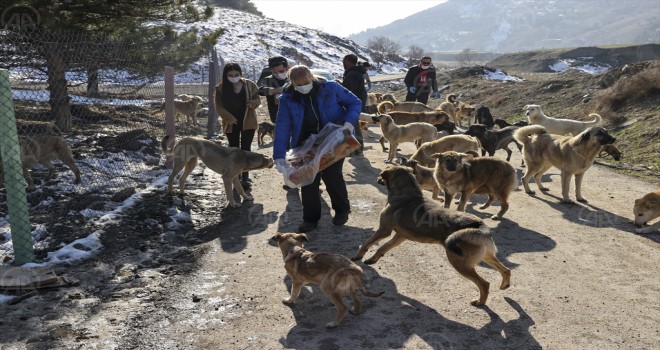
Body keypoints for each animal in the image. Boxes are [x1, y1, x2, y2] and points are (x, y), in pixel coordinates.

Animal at [350, 165, 510, 304]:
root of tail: (481, 226)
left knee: (484, 284)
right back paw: (504, 285)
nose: (378, 178)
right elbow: (382, 248)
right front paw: (372, 259)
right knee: (506, 270)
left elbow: (367, 243)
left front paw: (357, 256)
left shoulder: (384, 230)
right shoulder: (399, 237)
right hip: (486, 256)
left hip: (460, 262)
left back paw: (480, 302)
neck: (407, 193)